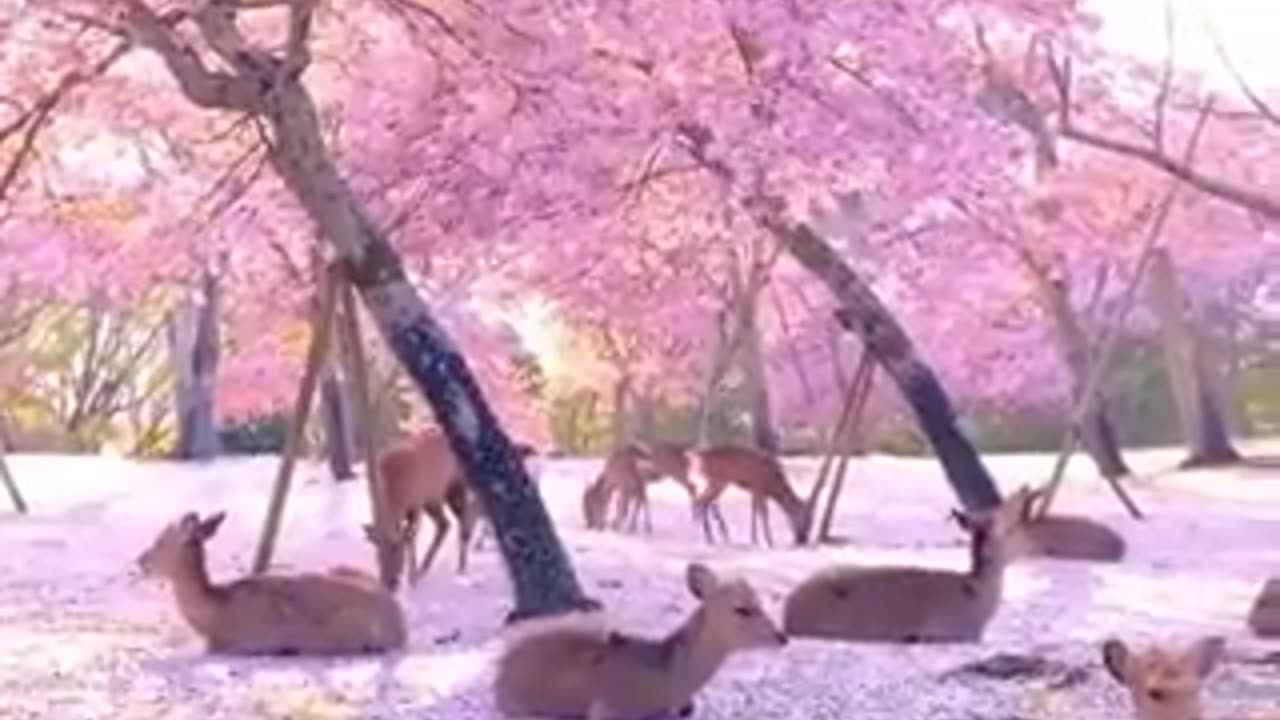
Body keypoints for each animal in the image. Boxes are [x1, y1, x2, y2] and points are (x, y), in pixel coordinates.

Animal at [363, 425, 478, 589]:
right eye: (377, 553)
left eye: (396, 549)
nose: (390, 583)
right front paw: (414, 573)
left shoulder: (416, 503)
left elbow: (412, 537)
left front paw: (412, 578)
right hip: (434, 497)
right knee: (445, 523)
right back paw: (425, 567)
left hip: (456, 486)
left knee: (463, 522)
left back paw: (461, 569)